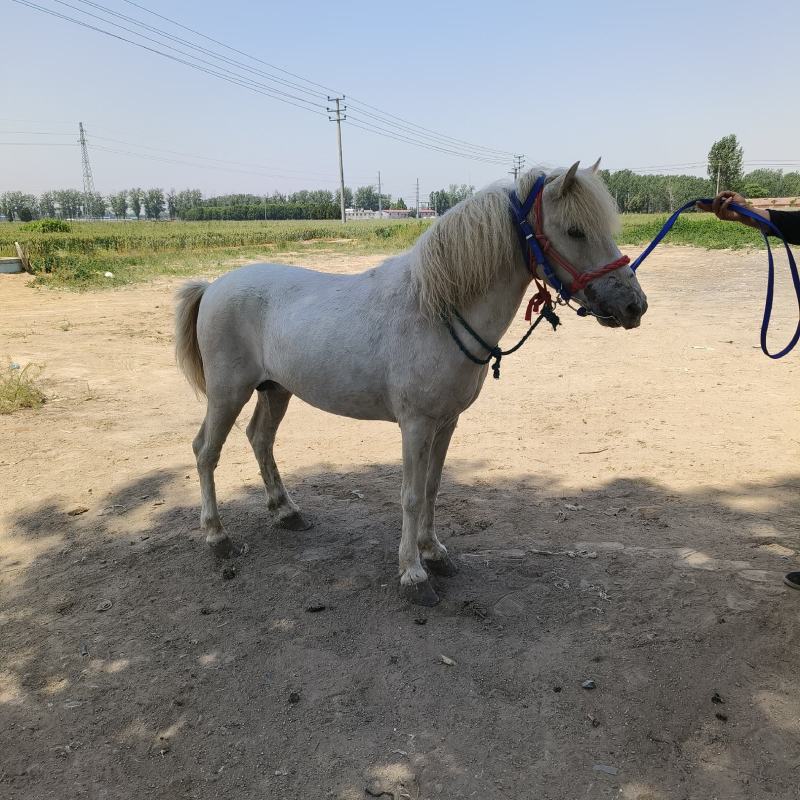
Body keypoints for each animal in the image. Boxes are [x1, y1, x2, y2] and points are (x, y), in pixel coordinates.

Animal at [174, 161, 648, 606]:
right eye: (575, 230)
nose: (633, 305)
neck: (436, 309)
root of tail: (213, 286)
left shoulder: (447, 422)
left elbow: (433, 488)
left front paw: (434, 553)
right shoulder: (416, 425)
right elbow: (411, 495)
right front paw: (413, 574)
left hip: (275, 389)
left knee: (260, 439)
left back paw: (286, 512)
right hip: (227, 393)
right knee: (205, 451)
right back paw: (217, 536)